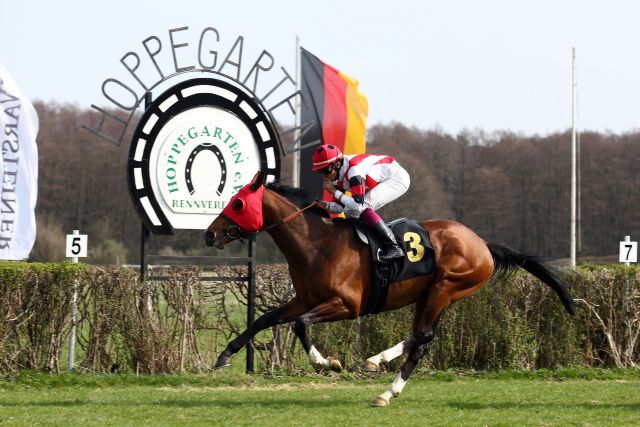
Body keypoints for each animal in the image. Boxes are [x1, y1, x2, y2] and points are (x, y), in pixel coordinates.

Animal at [205, 171, 576, 408]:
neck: (317, 243)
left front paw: (327, 363)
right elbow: (265, 319)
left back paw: (381, 372)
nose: (209, 234)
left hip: (446, 287)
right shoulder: (304, 299)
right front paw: (225, 355)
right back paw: (383, 379)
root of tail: (483, 244)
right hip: (430, 296)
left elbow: (299, 325)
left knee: (423, 338)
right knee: (421, 339)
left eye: (237, 203)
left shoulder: (347, 304)